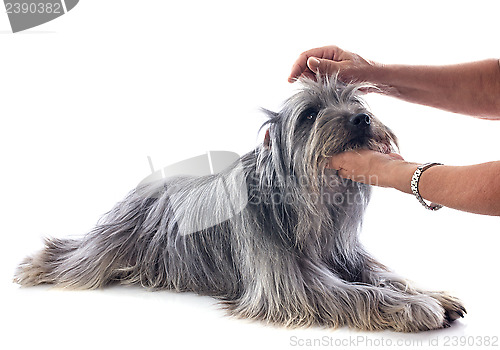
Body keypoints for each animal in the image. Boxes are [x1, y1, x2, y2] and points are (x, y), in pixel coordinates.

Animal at [14, 76, 464, 330]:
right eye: (309, 115)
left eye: (356, 101)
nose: (361, 119)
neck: (308, 205)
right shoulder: (292, 286)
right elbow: (360, 294)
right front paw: (415, 308)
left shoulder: (344, 255)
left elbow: (385, 276)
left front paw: (432, 295)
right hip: (105, 247)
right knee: (73, 257)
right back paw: (38, 263)